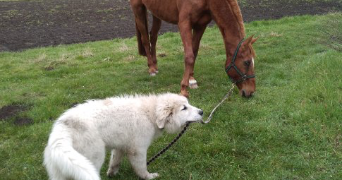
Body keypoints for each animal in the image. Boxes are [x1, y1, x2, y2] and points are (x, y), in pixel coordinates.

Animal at [42, 93, 203, 179]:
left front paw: (112, 173)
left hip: (61, 168)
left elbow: (115, 161)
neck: (150, 113)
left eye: (188, 104)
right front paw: (148, 176)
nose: (201, 112)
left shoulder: (120, 146)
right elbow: (141, 167)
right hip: (93, 157)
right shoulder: (137, 150)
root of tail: (63, 127)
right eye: (184, 108)